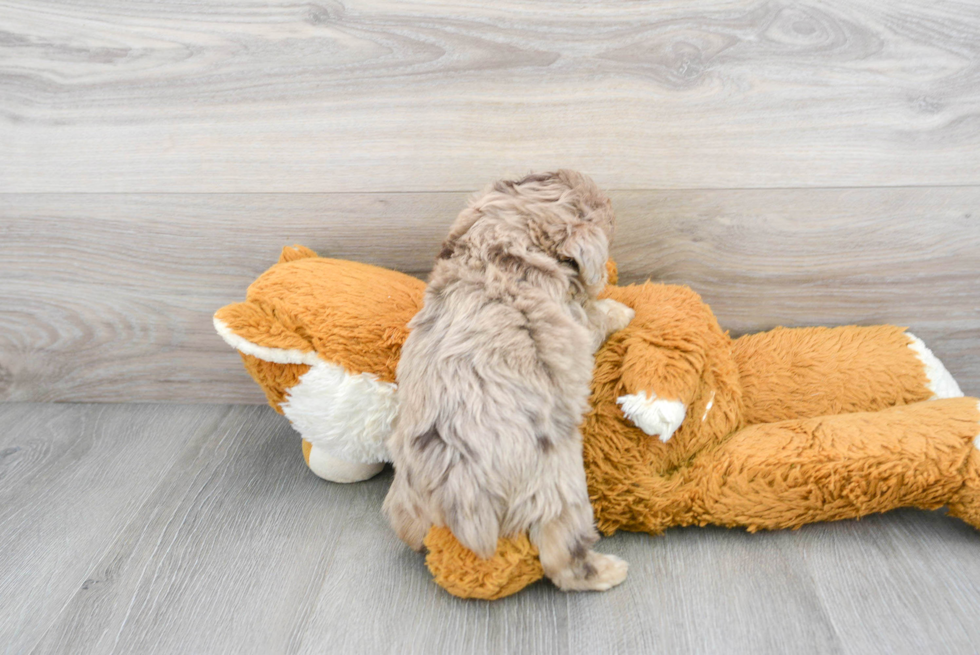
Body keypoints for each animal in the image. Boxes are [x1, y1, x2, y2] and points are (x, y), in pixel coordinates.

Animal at [382, 172, 636, 592]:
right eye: (598, 214)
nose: (612, 202)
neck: (496, 248)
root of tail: (457, 487)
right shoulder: (578, 322)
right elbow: (599, 312)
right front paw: (622, 309)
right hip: (556, 481)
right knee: (561, 555)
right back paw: (607, 571)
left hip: (406, 494)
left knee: (406, 527)